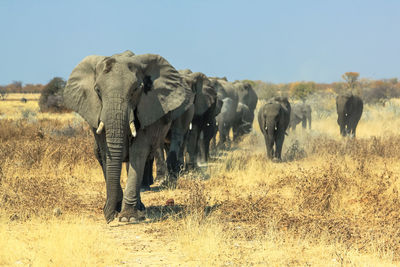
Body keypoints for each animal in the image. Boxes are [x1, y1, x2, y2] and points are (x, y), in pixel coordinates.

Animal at [63, 50, 193, 224]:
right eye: (97, 90)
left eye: (135, 89)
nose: (109, 217)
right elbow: (106, 153)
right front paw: (116, 211)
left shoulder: (148, 108)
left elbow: (138, 152)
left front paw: (128, 218)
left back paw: (139, 208)